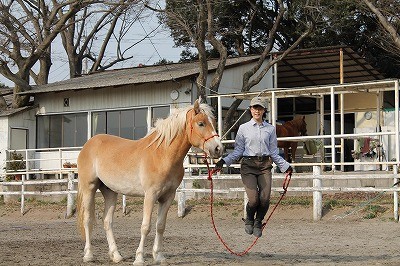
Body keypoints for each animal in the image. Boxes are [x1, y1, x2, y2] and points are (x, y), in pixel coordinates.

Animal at [76, 99, 223, 264]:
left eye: (213, 122)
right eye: (201, 123)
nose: (218, 148)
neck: (162, 155)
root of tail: (89, 144)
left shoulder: (168, 197)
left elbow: (160, 226)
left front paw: (159, 256)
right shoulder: (150, 195)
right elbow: (146, 226)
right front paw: (139, 258)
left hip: (110, 192)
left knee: (107, 221)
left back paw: (116, 255)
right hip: (89, 187)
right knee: (88, 219)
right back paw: (88, 255)